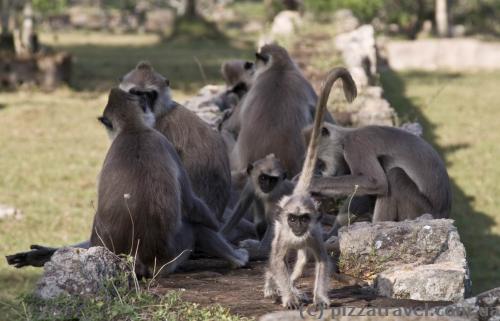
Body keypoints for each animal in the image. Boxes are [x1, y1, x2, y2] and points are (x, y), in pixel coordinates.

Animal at [264, 67, 358, 308]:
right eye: (292, 219)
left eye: (303, 219)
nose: (298, 226)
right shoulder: (285, 232)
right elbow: (276, 262)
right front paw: (288, 297)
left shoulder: (313, 234)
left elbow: (322, 262)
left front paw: (320, 297)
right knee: (276, 262)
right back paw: (275, 287)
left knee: (302, 259)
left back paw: (295, 286)